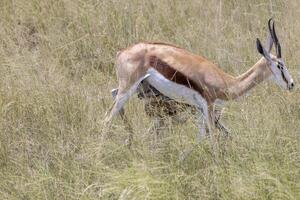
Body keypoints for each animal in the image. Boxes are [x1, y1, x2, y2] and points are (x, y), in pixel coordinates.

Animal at [105, 18, 292, 153]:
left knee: (113, 93)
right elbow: (212, 137)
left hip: (133, 87)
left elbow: (201, 136)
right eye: (280, 65)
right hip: (129, 87)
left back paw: (131, 140)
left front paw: (181, 159)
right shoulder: (208, 105)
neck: (226, 81)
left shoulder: (200, 109)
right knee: (107, 118)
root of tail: (121, 52)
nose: (291, 84)